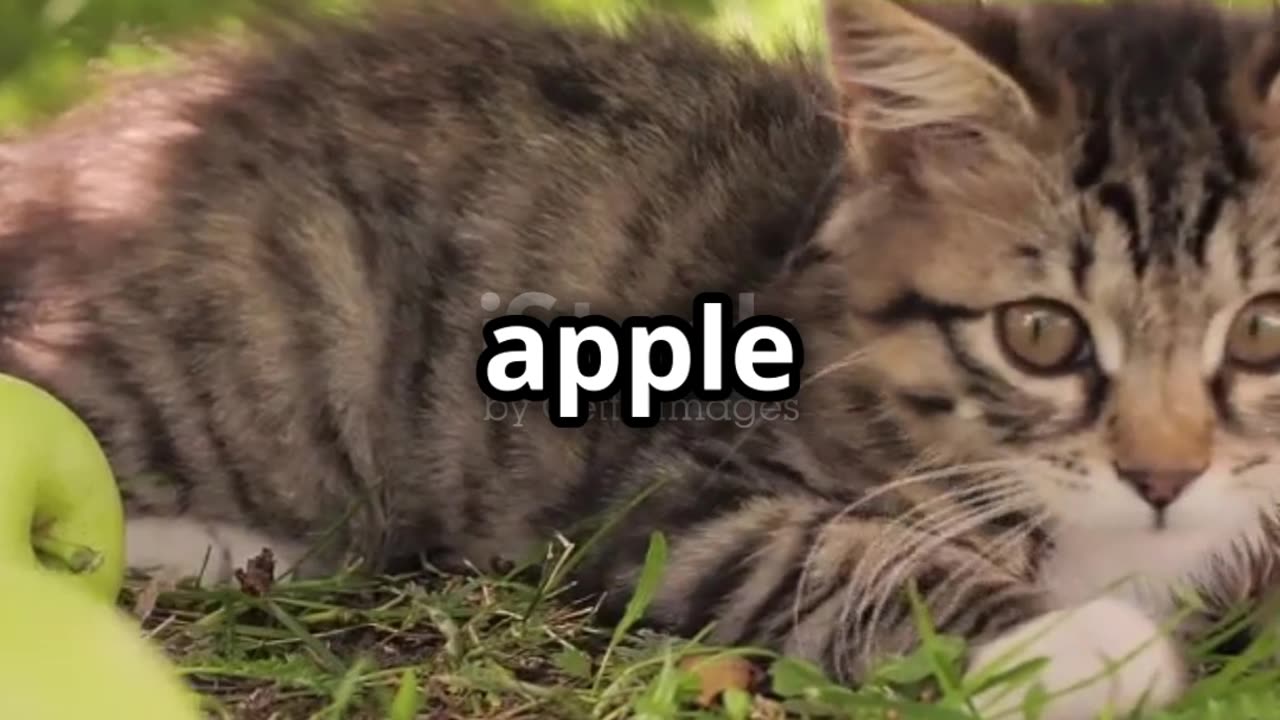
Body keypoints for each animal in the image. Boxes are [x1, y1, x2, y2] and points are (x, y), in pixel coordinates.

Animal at [2, 0, 1280, 712]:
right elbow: (848, 558)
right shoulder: (668, 487)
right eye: (1040, 332)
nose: (1162, 476)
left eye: (1258, 327)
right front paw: (1080, 642)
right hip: (279, 317)